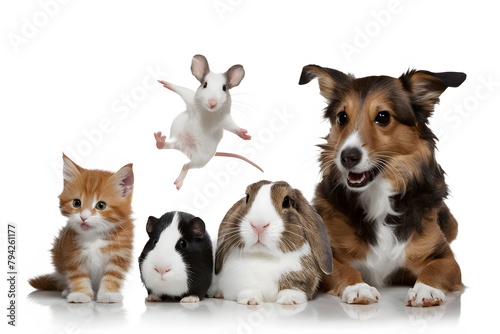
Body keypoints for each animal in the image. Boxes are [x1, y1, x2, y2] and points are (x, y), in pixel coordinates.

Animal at [28, 154, 135, 302]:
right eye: (76, 203)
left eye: (101, 205)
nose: (84, 217)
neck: (94, 237)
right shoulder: (70, 252)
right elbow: (77, 275)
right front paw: (80, 294)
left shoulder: (120, 254)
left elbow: (113, 274)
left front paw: (108, 293)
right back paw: (67, 290)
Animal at [296, 66, 464, 308]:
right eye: (342, 117)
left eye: (383, 117)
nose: (347, 157)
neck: (378, 195)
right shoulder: (325, 256)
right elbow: (344, 270)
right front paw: (357, 287)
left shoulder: (445, 257)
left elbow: (436, 269)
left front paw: (426, 289)